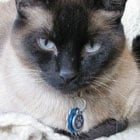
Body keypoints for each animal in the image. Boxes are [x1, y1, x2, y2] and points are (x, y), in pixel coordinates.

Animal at [0, 0, 140, 139]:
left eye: (92, 46)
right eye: (46, 43)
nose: (67, 74)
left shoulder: (128, 114)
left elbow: (115, 124)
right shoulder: (19, 117)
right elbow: (54, 129)